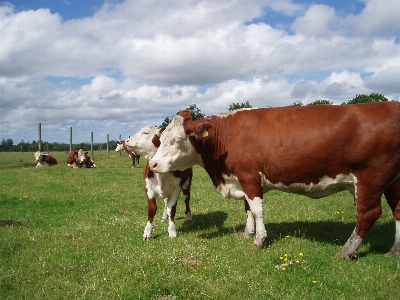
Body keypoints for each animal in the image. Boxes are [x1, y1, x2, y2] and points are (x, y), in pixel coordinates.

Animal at [148, 102, 400, 258]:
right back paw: (394, 249)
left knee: (369, 213)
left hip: (370, 177)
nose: (153, 164)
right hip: (393, 181)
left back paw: (347, 250)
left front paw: (259, 240)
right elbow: (248, 209)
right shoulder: (243, 179)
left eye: (176, 140)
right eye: (160, 139)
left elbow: (256, 209)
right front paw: (248, 232)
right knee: (397, 210)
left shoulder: (249, 176)